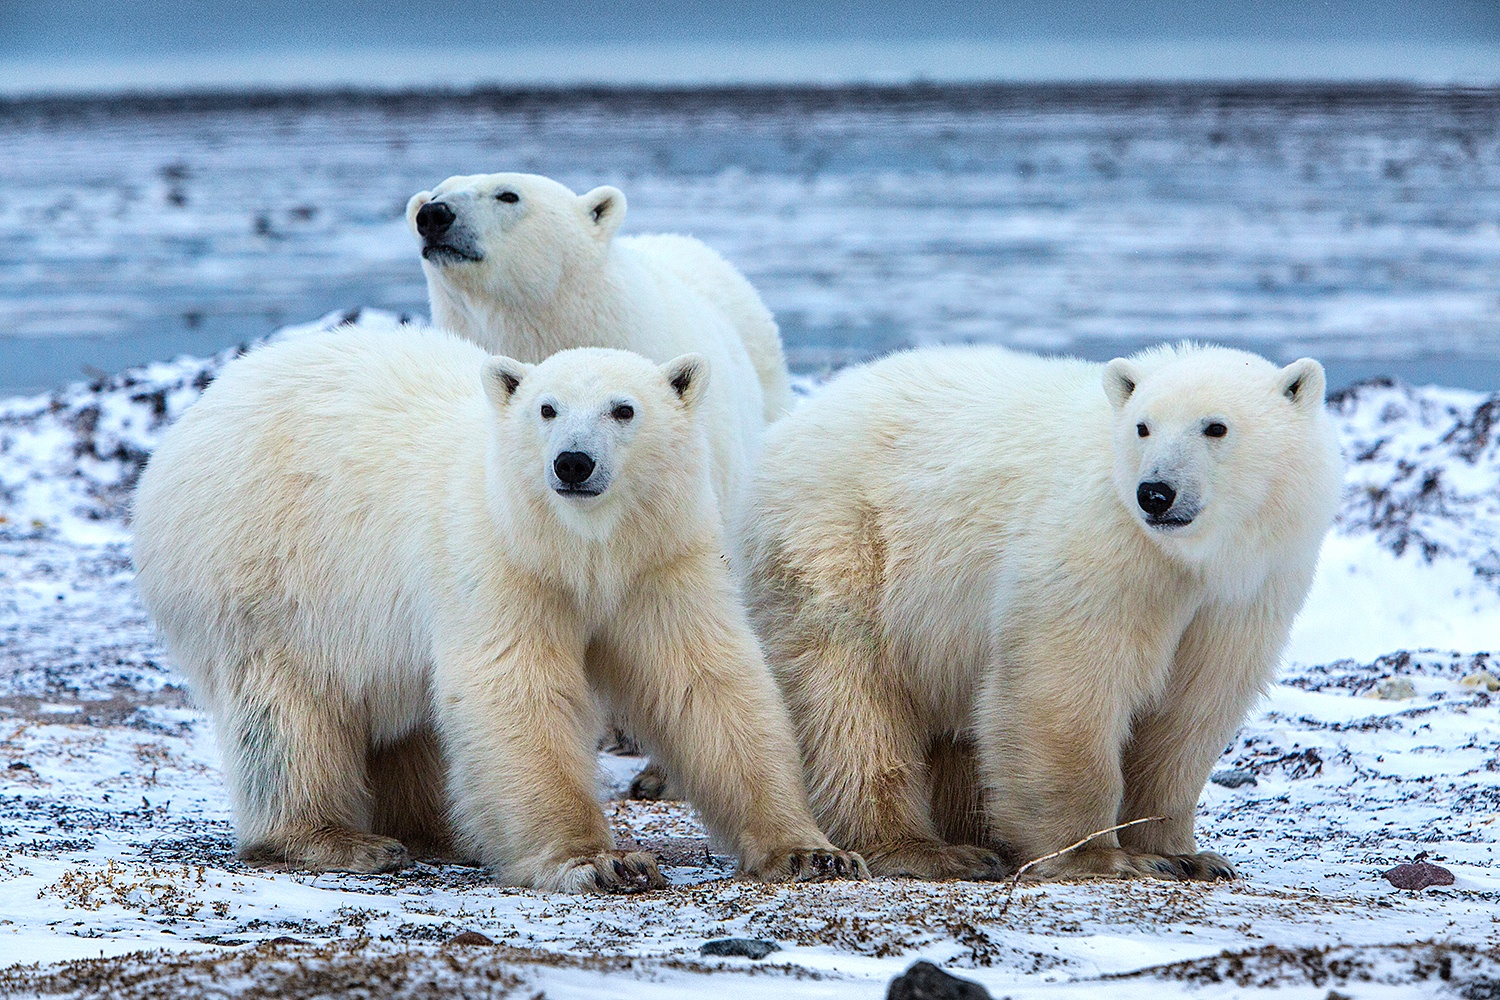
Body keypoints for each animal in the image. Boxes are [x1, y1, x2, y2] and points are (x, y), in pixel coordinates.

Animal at [138, 320, 870, 893]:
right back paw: (337, 838)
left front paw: (811, 851)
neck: (579, 548)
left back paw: (442, 830)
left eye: (623, 409)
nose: (573, 463)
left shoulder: (658, 561)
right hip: (265, 573)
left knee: (405, 719)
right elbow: (515, 686)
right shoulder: (497, 557)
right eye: (546, 409)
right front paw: (603, 862)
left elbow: (705, 680)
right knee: (286, 712)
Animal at [744, 344, 1344, 881]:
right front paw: (1096, 856)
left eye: (1215, 427)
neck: (1188, 557)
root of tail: (785, 430)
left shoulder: (1245, 593)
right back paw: (927, 849)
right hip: (844, 543)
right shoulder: (1102, 548)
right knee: (849, 697)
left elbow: (1191, 713)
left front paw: (1185, 856)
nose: (1155, 493)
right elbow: (1065, 683)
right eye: (1143, 427)